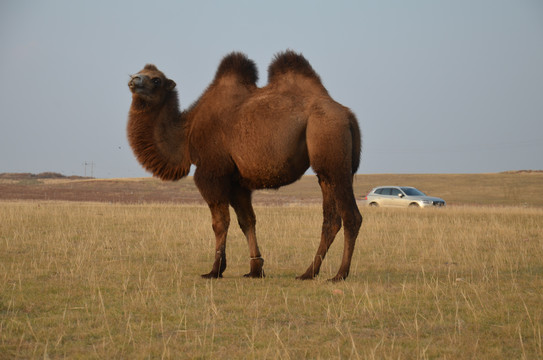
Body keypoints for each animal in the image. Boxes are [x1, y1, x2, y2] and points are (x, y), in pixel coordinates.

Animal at [127, 50, 364, 282]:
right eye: (139, 72)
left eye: (156, 79)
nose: (133, 80)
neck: (186, 134)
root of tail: (348, 115)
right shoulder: (237, 181)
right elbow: (247, 221)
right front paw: (255, 269)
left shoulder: (211, 173)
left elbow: (220, 222)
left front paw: (215, 270)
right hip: (326, 169)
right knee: (330, 219)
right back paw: (308, 273)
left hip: (330, 144)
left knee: (351, 216)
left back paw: (340, 274)